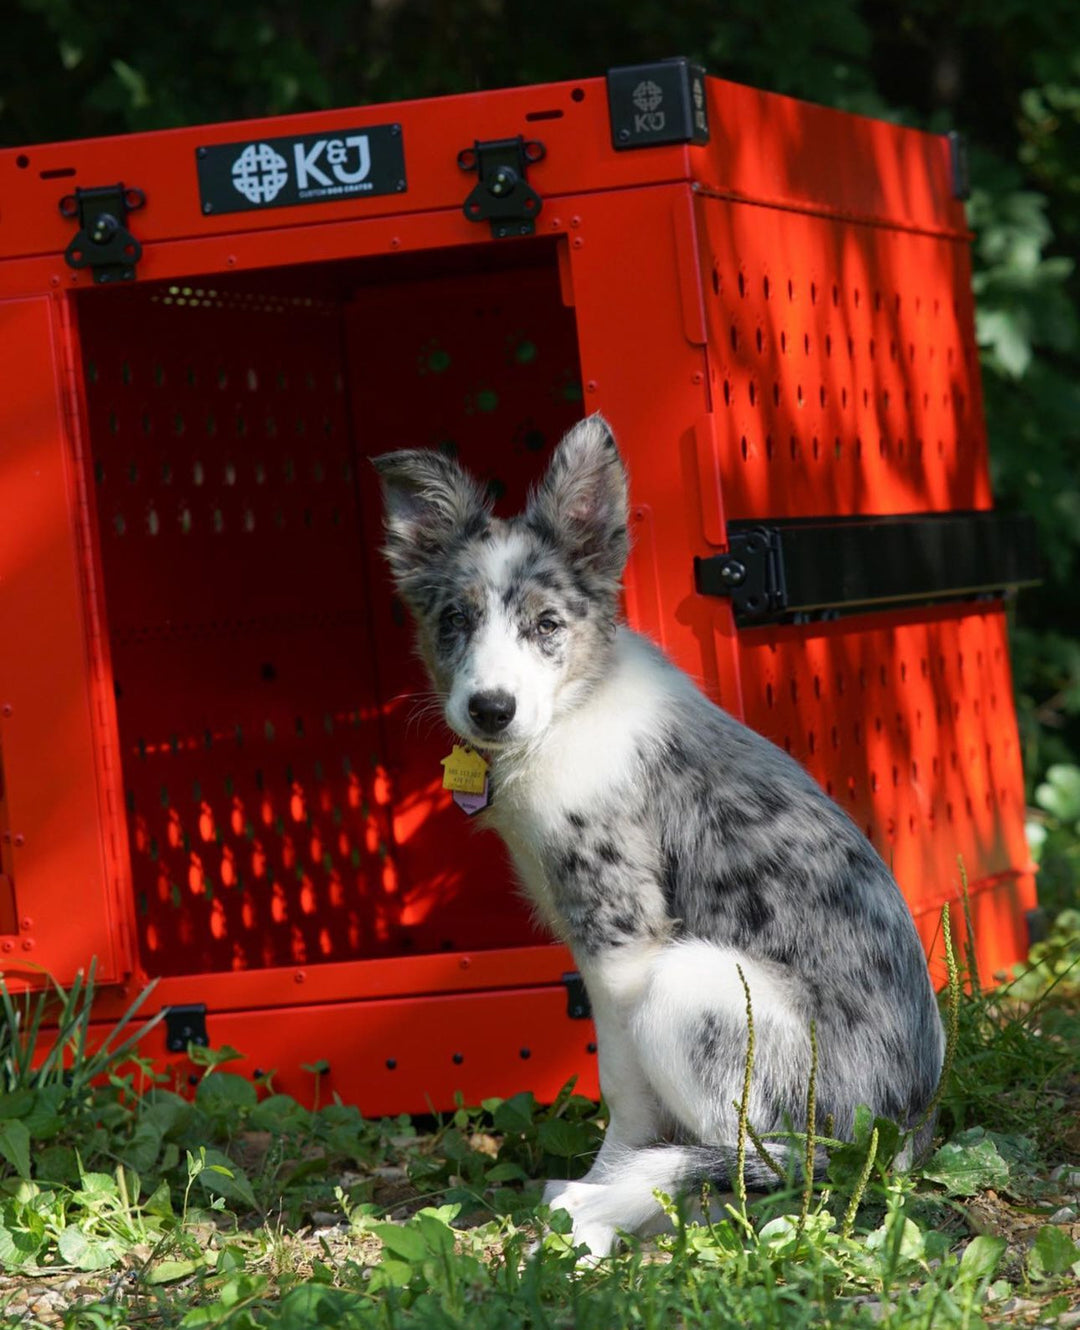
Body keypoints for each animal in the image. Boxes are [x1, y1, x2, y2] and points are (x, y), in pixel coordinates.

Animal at [372, 414, 946, 1255]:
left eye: (547, 625)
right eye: (456, 621)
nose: (490, 710)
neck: (574, 706)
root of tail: (892, 1135)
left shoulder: (623, 936)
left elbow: (624, 1092)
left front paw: (599, 1187)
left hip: (694, 988)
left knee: (760, 1162)